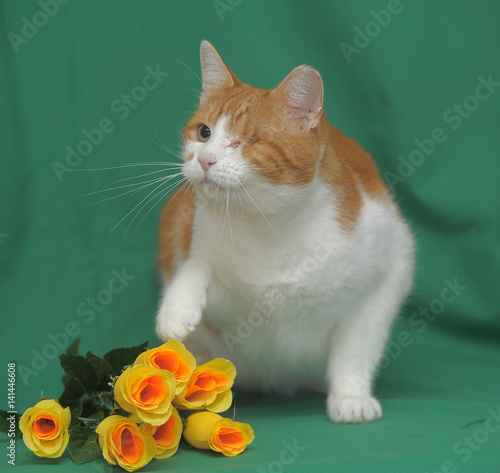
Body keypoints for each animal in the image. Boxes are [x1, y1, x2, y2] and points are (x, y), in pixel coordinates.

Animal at [156, 40, 414, 422]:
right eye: (204, 133)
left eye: (248, 140)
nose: (204, 160)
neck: (272, 227)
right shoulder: (215, 279)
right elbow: (195, 269)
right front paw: (176, 307)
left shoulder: (384, 282)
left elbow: (355, 352)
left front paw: (351, 395)